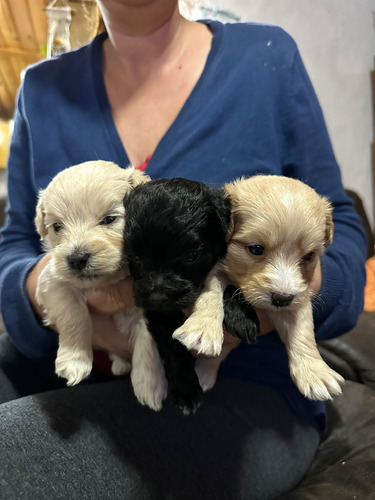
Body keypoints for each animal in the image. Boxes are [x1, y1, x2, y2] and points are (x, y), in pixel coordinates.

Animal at [35, 160, 167, 410]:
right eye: (57, 226)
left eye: (109, 219)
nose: (77, 259)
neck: (109, 279)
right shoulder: (53, 281)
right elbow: (74, 314)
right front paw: (74, 360)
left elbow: (147, 340)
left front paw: (149, 384)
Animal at [122, 178, 232, 412]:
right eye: (136, 257)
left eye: (191, 257)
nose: (157, 297)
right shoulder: (157, 311)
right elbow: (174, 346)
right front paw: (186, 390)